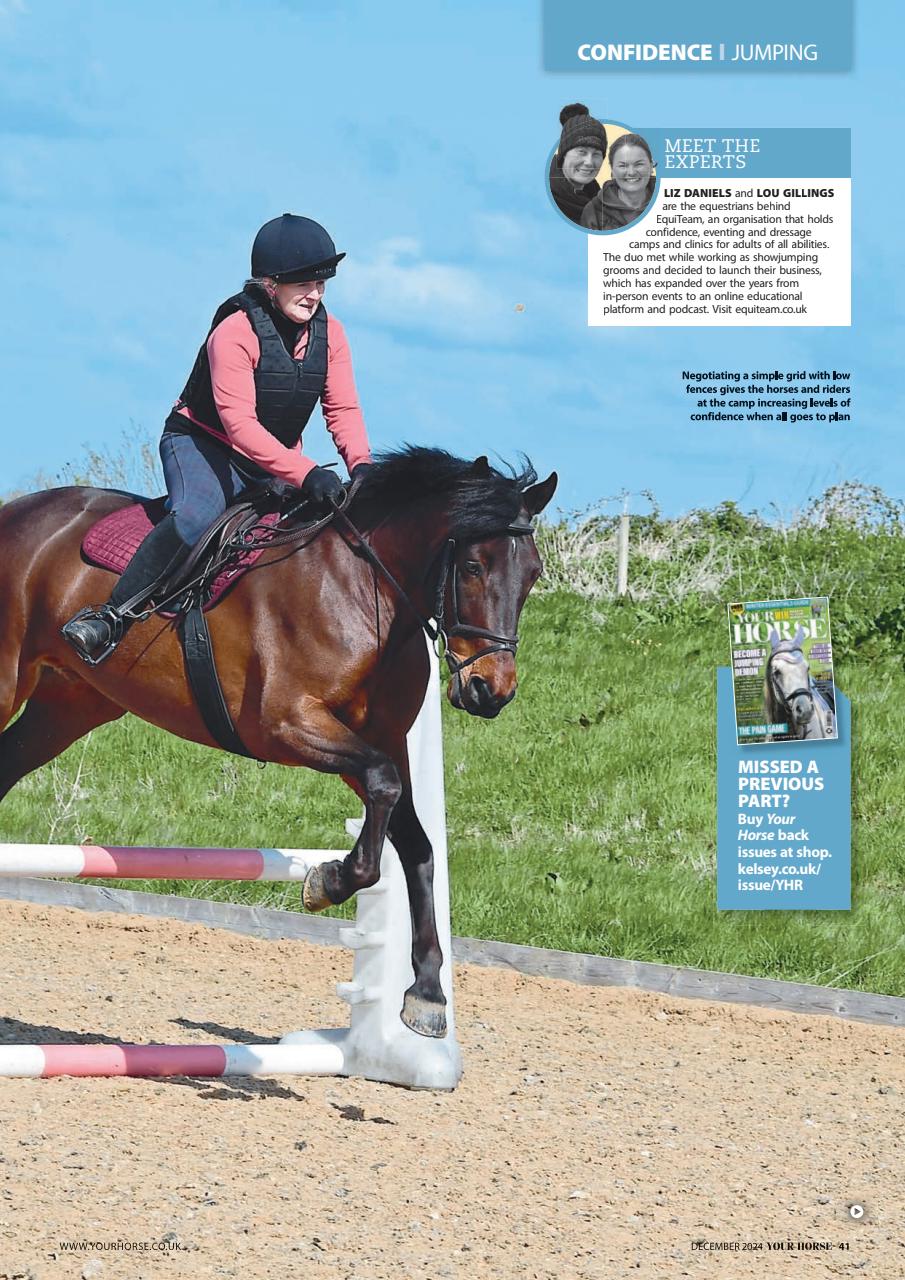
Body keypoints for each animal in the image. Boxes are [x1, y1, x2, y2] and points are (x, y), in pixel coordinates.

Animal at [0, 446, 557, 1039]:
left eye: (533, 574)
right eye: (473, 567)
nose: (490, 691)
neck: (365, 591)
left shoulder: (373, 740)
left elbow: (416, 842)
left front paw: (426, 992)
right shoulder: (288, 724)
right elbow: (383, 788)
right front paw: (330, 880)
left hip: (67, 708)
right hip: (10, 682)